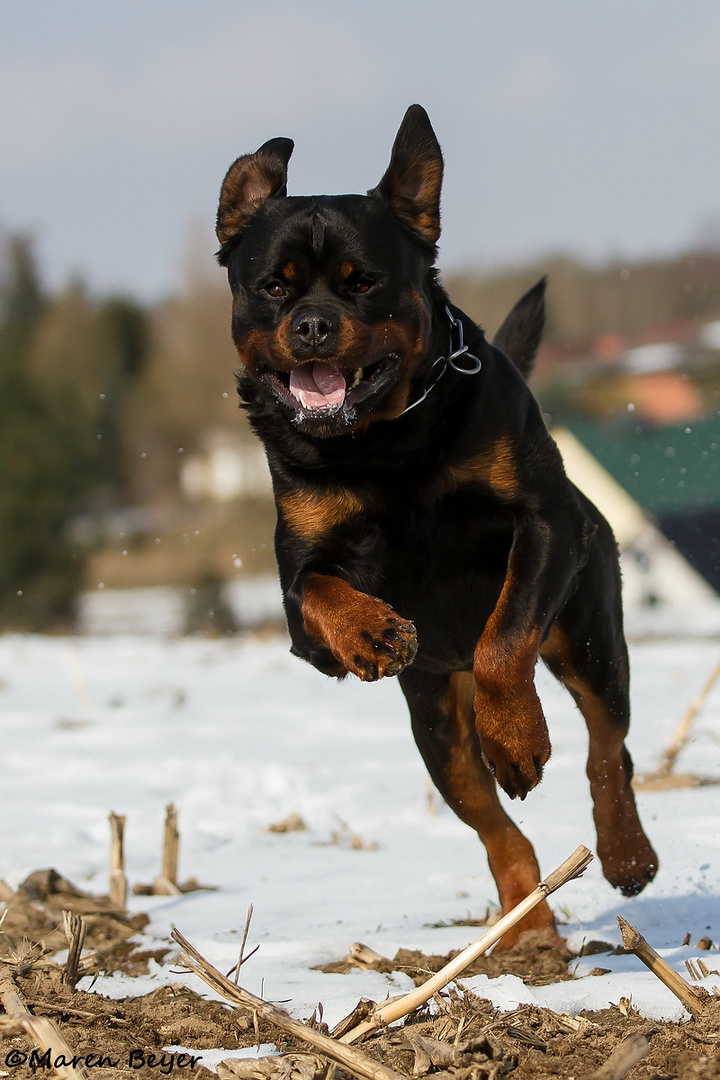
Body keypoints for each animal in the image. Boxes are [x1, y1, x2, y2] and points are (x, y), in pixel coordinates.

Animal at [215, 103, 660, 946]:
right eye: (273, 287)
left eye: (363, 284)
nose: (312, 325)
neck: (385, 443)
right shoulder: (297, 596)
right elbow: (321, 589)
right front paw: (371, 631)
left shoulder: (544, 525)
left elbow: (505, 640)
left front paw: (518, 737)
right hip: (435, 724)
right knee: (493, 825)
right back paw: (527, 924)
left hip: (589, 635)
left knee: (606, 748)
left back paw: (624, 853)